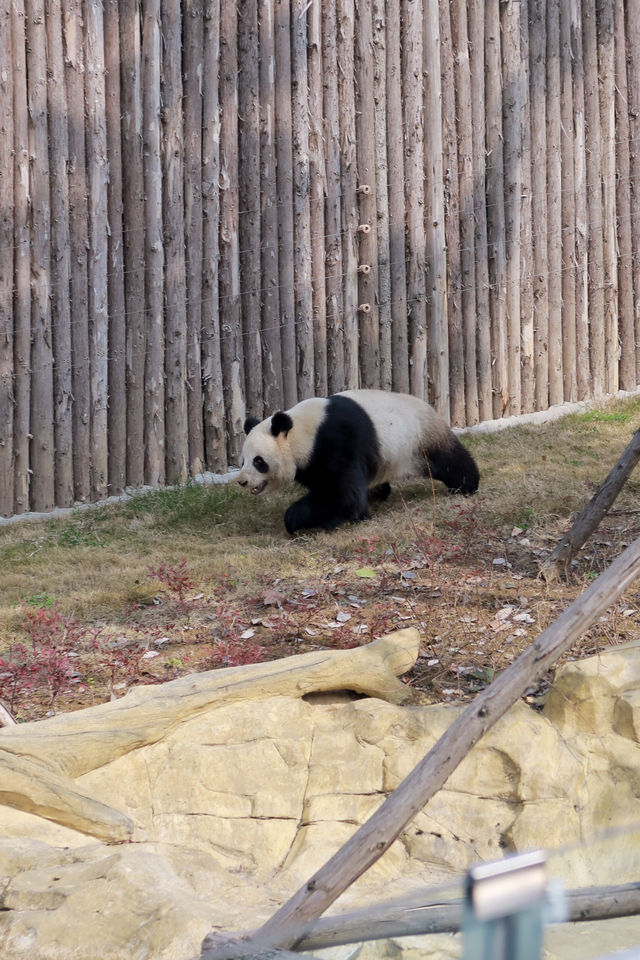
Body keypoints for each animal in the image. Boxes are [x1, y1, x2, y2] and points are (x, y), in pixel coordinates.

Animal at [238, 392, 478, 540]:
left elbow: (344, 495)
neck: (302, 432)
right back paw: (378, 492)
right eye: (243, 460)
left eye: (258, 461)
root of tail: (428, 404)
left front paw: (296, 520)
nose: (242, 481)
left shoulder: (335, 443)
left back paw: (467, 485)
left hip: (419, 438)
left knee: (449, 460)